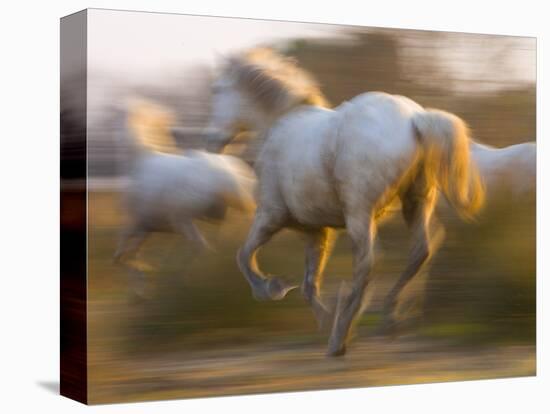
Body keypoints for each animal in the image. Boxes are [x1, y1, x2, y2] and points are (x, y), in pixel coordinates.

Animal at [116, 99, 258, 294]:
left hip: (184, 220)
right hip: (220, 220)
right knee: (231, 244)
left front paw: (141, 283)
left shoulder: (137, 225)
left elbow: (122, 254)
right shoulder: (146, 228)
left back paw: (179, 280)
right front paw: (141, 283)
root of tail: (223, 174)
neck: (141, 160)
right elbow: (128, 254)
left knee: (201, 246)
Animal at [205, 49, 486, 356]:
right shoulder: (316, 232)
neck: (278, 125)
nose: (212, 142)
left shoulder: (270, 217)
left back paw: (341, 337)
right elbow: (308, 285)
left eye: (217, 89)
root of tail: (415, 118)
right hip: (415, 203)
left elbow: (244, 256)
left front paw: (272, 288)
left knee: (368, 264)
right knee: (420, 252)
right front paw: (322, 316)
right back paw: (389, 320)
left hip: (359, 214)